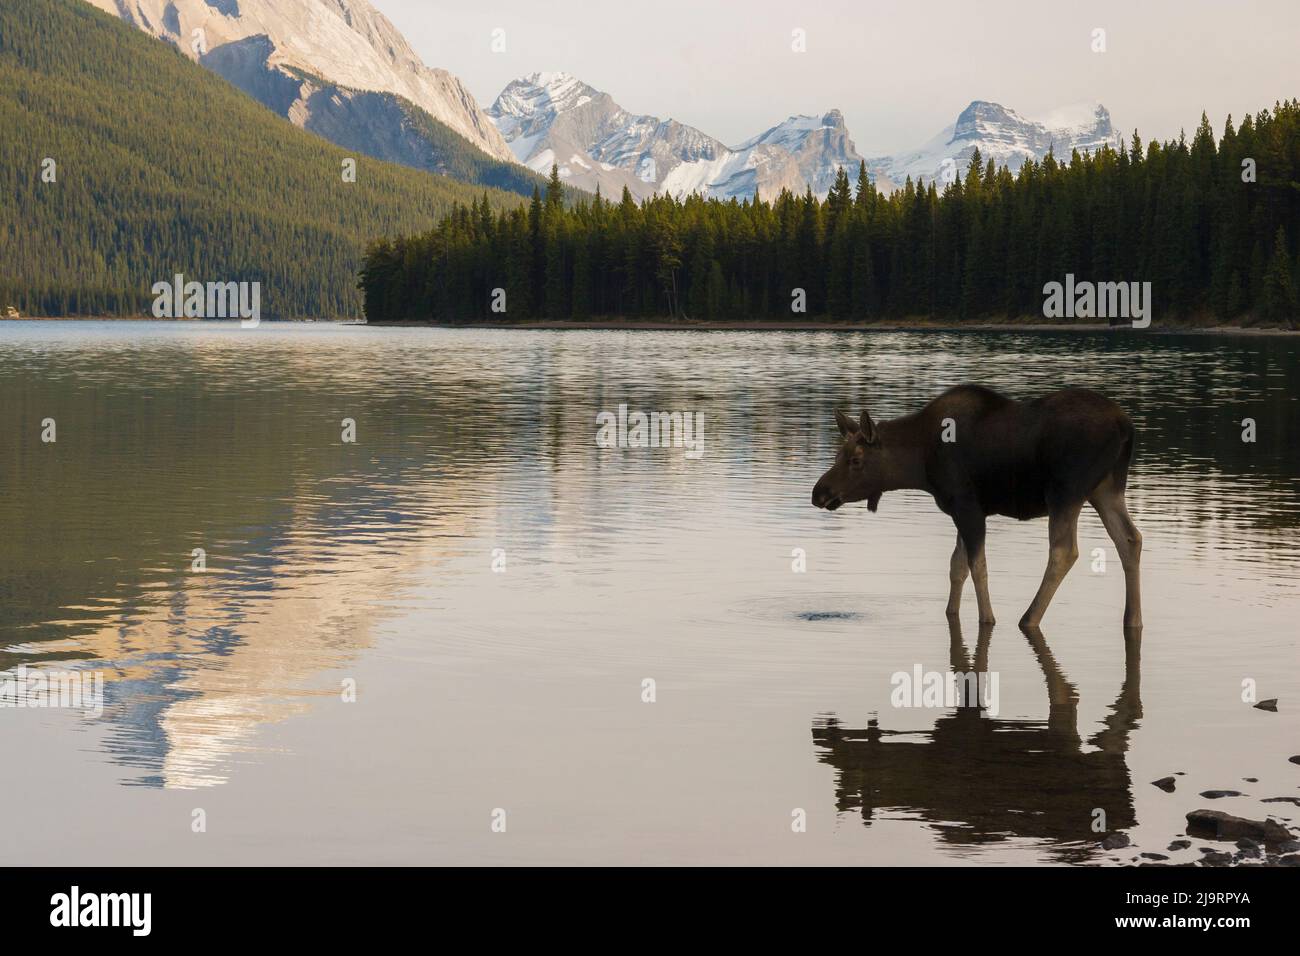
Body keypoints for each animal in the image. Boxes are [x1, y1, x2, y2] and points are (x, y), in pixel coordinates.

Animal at [810, 384, 1142, 629]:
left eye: (855, 460)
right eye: (837, 455)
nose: (818, 493)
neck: (919, 465)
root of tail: (1126, 427)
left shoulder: (967, 505)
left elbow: (977, 566)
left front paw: (988, 618)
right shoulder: (963, 510)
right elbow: (956, 567)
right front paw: (951, 613)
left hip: (1066, 491)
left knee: (1064, 551)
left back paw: (1029, 618)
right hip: (1106, 489)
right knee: (1130, 539)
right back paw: (1133, 620)